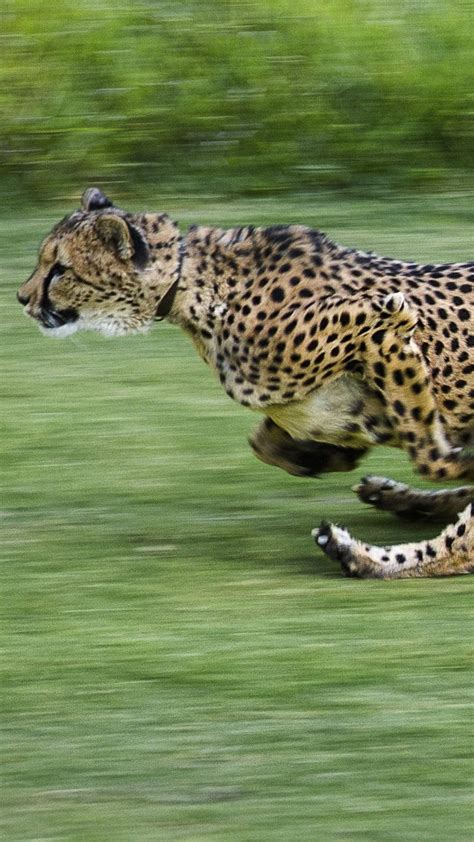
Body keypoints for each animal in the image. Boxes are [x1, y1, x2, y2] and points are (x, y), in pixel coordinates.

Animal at [16, 187, 472, 576]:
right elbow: (266, 442)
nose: (22, 297)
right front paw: (318, 456)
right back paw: (392, 501)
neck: (190, 285)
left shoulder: (380, 325)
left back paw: (354, 552)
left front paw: (453, 458)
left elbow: (429, 452)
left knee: (458, 547)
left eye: (60, 269)